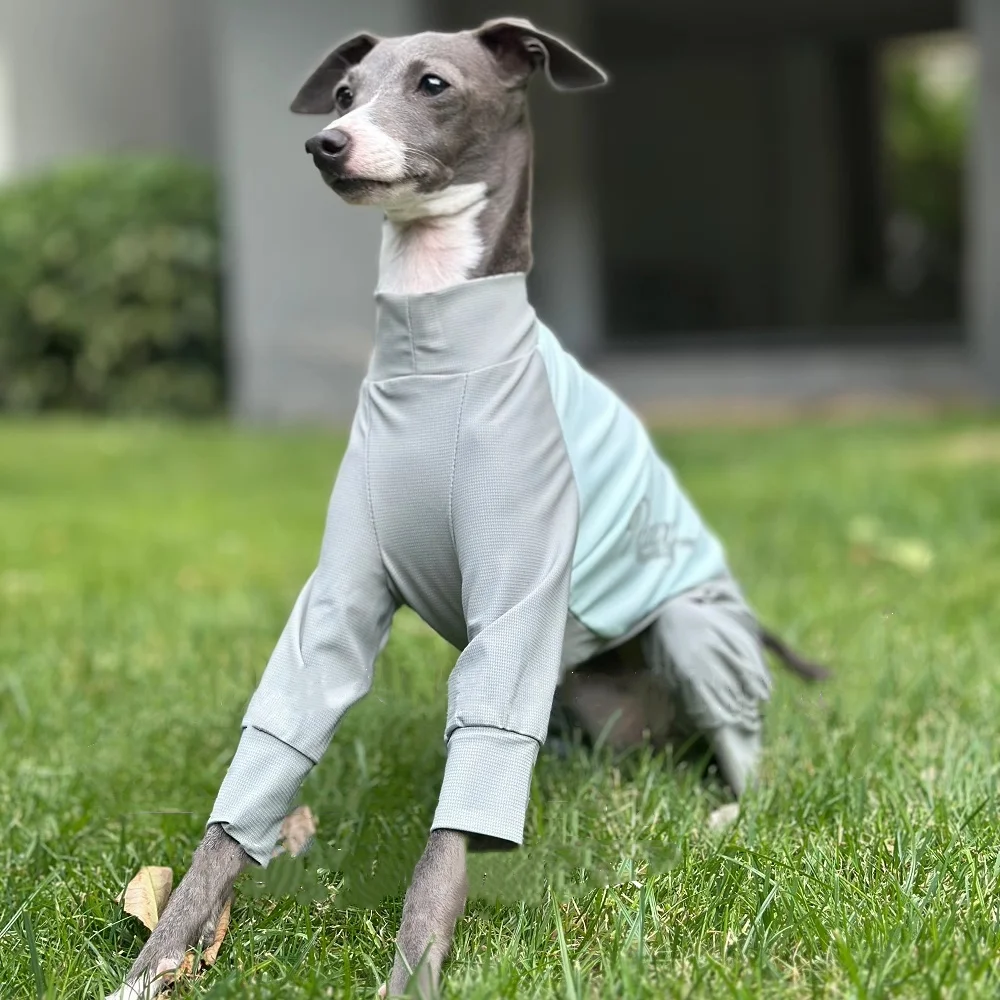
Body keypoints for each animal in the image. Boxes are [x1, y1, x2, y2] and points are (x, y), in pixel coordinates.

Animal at [106, 18, 827, 1000]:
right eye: (345, 93)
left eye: (434, 83)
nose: (326, 145)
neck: (434, 356)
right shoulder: (336, 599)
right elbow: (256, 775)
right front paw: (156, 964)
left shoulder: (518, 610)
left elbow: (461, 807)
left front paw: (413, 973)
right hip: (588, 700)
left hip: (690, 628)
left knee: (744, 754)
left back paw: (720, 818)